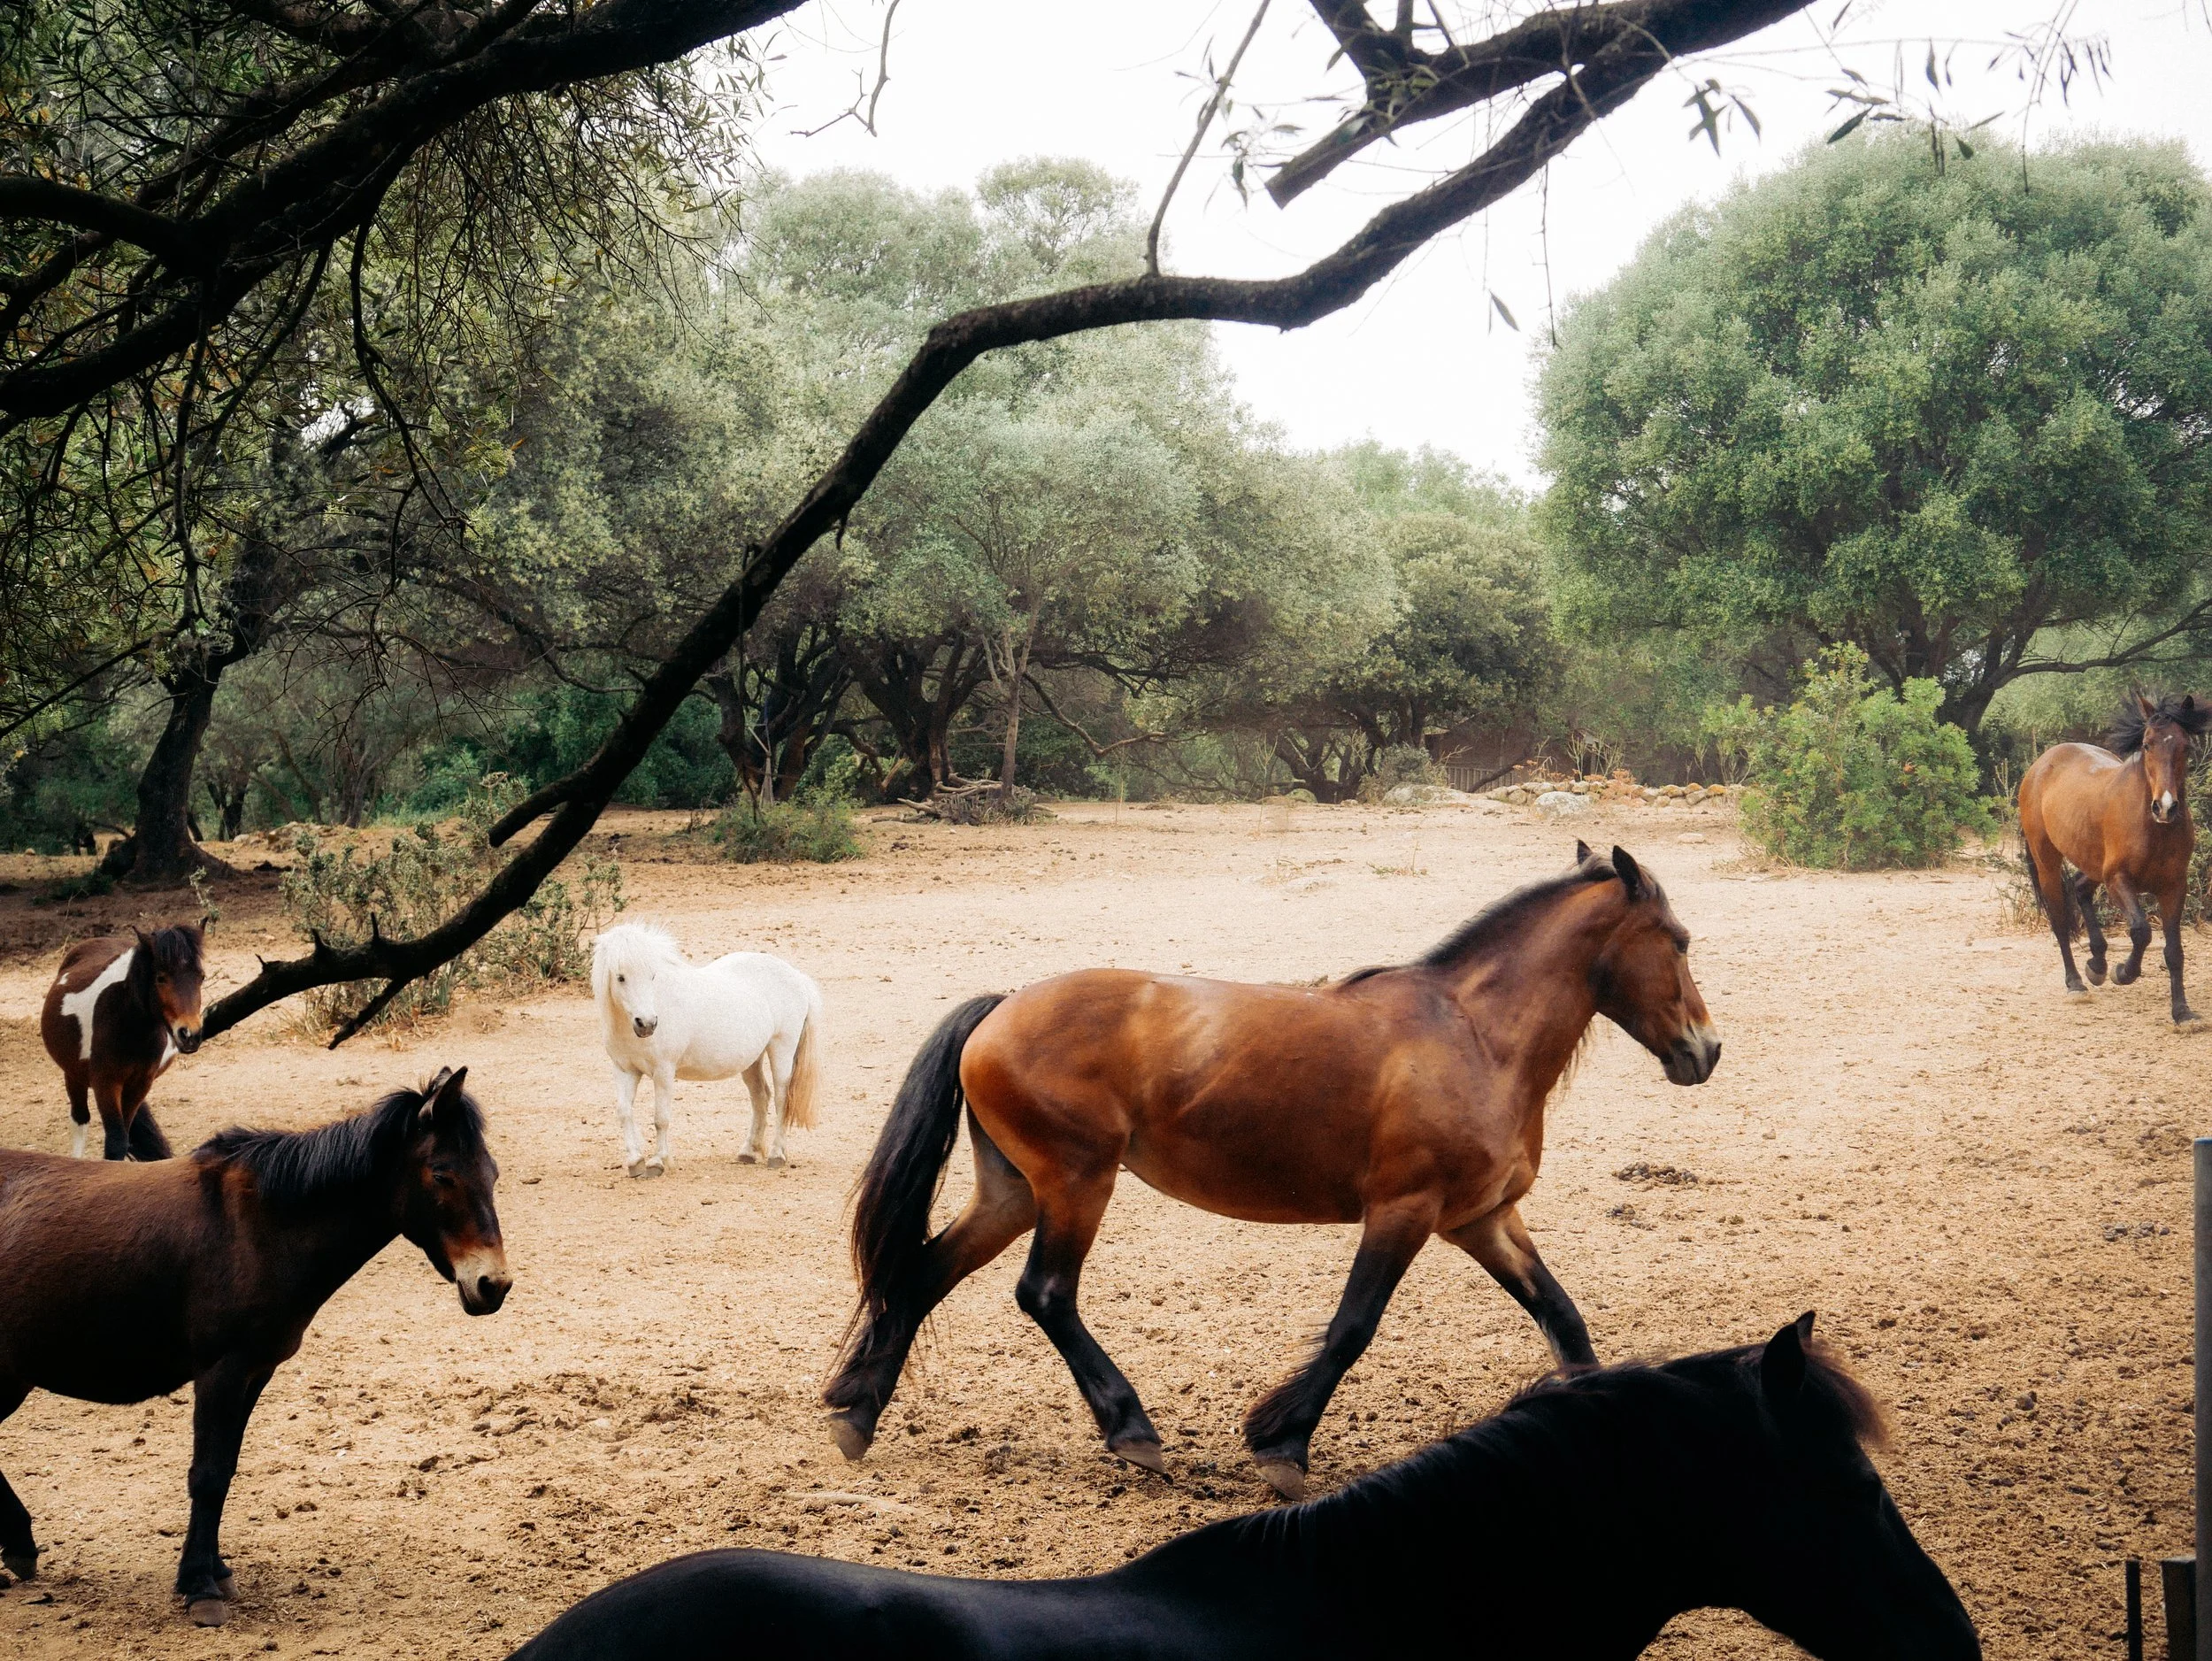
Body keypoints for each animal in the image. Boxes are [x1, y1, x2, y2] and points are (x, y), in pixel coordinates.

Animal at [0, 1066, 508, 1627]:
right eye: (441, 1175)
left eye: (492, 1175)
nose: (493, 1285)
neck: (259, 1228)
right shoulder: (220, 1371)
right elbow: (207, 1474)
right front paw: (198, 1586)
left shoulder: (254, 1372)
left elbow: (226, 1467)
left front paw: (214, 1568)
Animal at [38, 921, 206, 1160]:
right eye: (160, 978)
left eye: (201, 977)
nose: (189, 1034)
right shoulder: (106, 1084)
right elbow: (116, 1141)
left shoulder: (140, 1084)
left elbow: (125, 1136)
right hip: (73, 1075)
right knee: (80, 1121)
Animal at [591, 923, 824, 1177]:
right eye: (620, 977)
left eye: (652, 976)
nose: (647, 1024)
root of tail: (796, 976)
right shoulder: (625, 1070)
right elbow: (624, 1112)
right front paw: (635, 1162)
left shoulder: (663, 1072)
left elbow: (661, 1118)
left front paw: (658, 1162)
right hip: (752, 1060)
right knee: (760, 1097)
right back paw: (748, 1152)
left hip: (781, 1049)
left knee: (782, 1099)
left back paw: (776, 1155)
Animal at [825, 842, 1720, 1498]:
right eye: (1678, 942)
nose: (1705, 1050)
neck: (1473, 1037)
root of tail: (1002, 1007)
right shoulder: (1405, 1210)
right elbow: (1354, 1326)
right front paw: (1282, 1446)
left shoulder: (1482, 1218)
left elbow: (1564, 1321)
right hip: (1077, 1183)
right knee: (1044, 1293)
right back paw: (1133, 1432)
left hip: (1012, 1192)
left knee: (923, 1271)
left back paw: (857, 1413)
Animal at [2018, 693, 2210, 1024]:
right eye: (2147, 744)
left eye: (2186, 746)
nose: (2165, 807)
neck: (2151, 826)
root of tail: (2042, 763)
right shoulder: (2119, 881)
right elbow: (2141, 931)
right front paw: (2124, 972)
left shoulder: (2174, 887)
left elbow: (2174, 951)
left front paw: (2182, 1012)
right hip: (2048, 862)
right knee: (2059, 919)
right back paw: (2076, 983)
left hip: (2093, 863)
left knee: (2080, 888)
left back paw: (2097, 964)